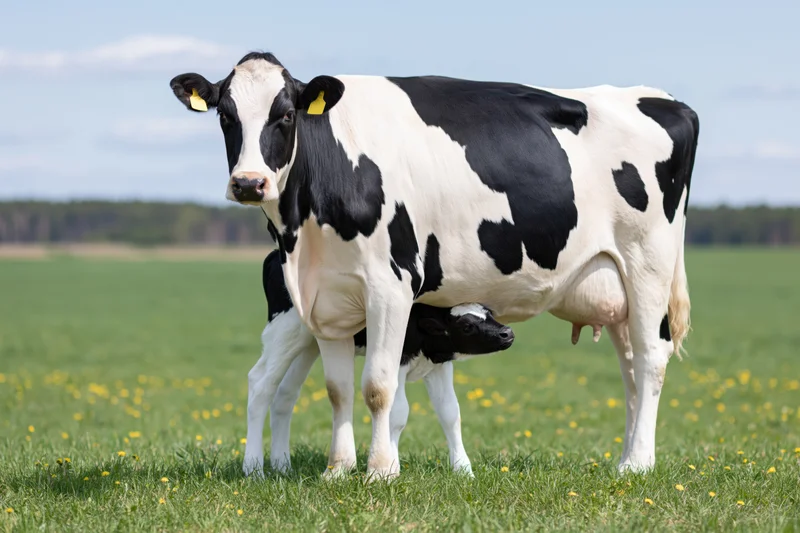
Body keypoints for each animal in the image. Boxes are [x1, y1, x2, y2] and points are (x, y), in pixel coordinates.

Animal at [244, 249, 514, 477]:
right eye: (466, 326)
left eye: (489, 312)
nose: (507, 333)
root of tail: (275, 254)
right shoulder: (399, 361)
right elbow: (398, 412)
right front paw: (389, 468)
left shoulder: (438, 364)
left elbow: (450, 412)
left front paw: (464, 471)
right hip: (285, 330)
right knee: (260, 383)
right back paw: (254, 470)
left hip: (309, 344)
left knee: (285, 394)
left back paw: (282, 467)